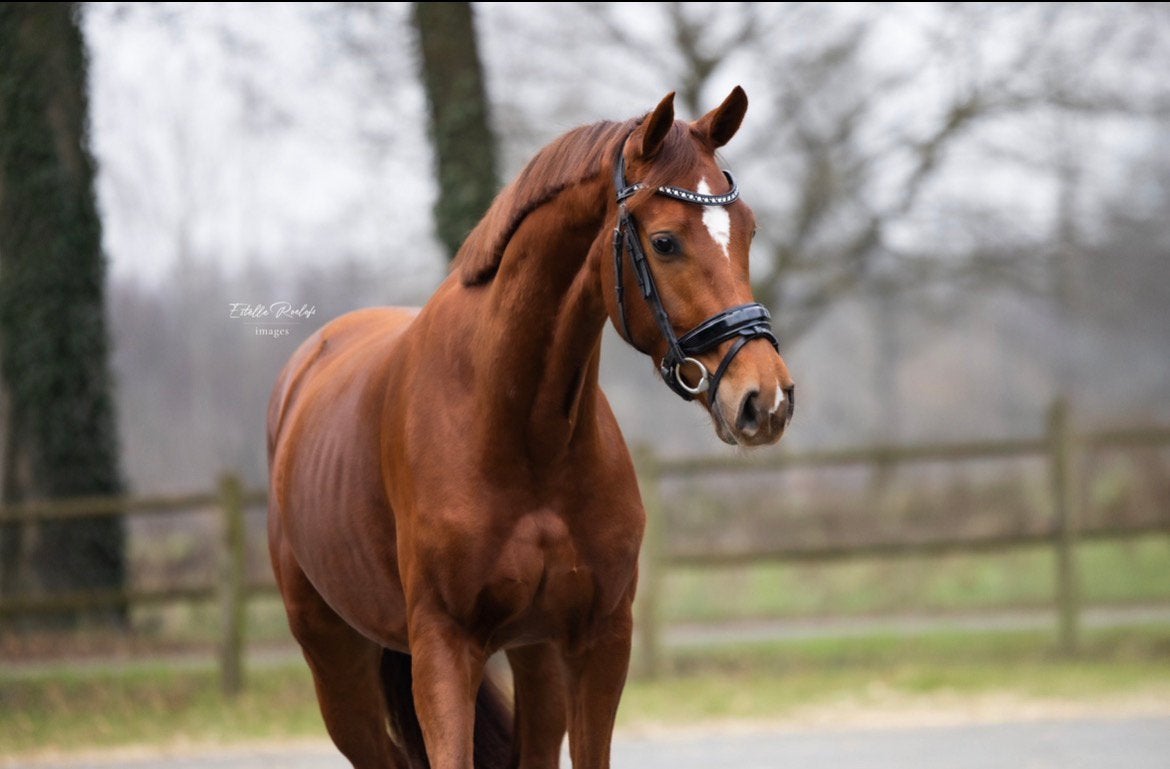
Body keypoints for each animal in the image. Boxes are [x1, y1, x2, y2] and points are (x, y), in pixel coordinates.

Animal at [267, 86, 795, 769]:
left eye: (749, 230)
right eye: (665, 241)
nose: (765, 398)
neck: (523, 433)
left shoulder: (599, 640)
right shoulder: (443, 649)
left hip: (533, 657)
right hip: (337, 667)